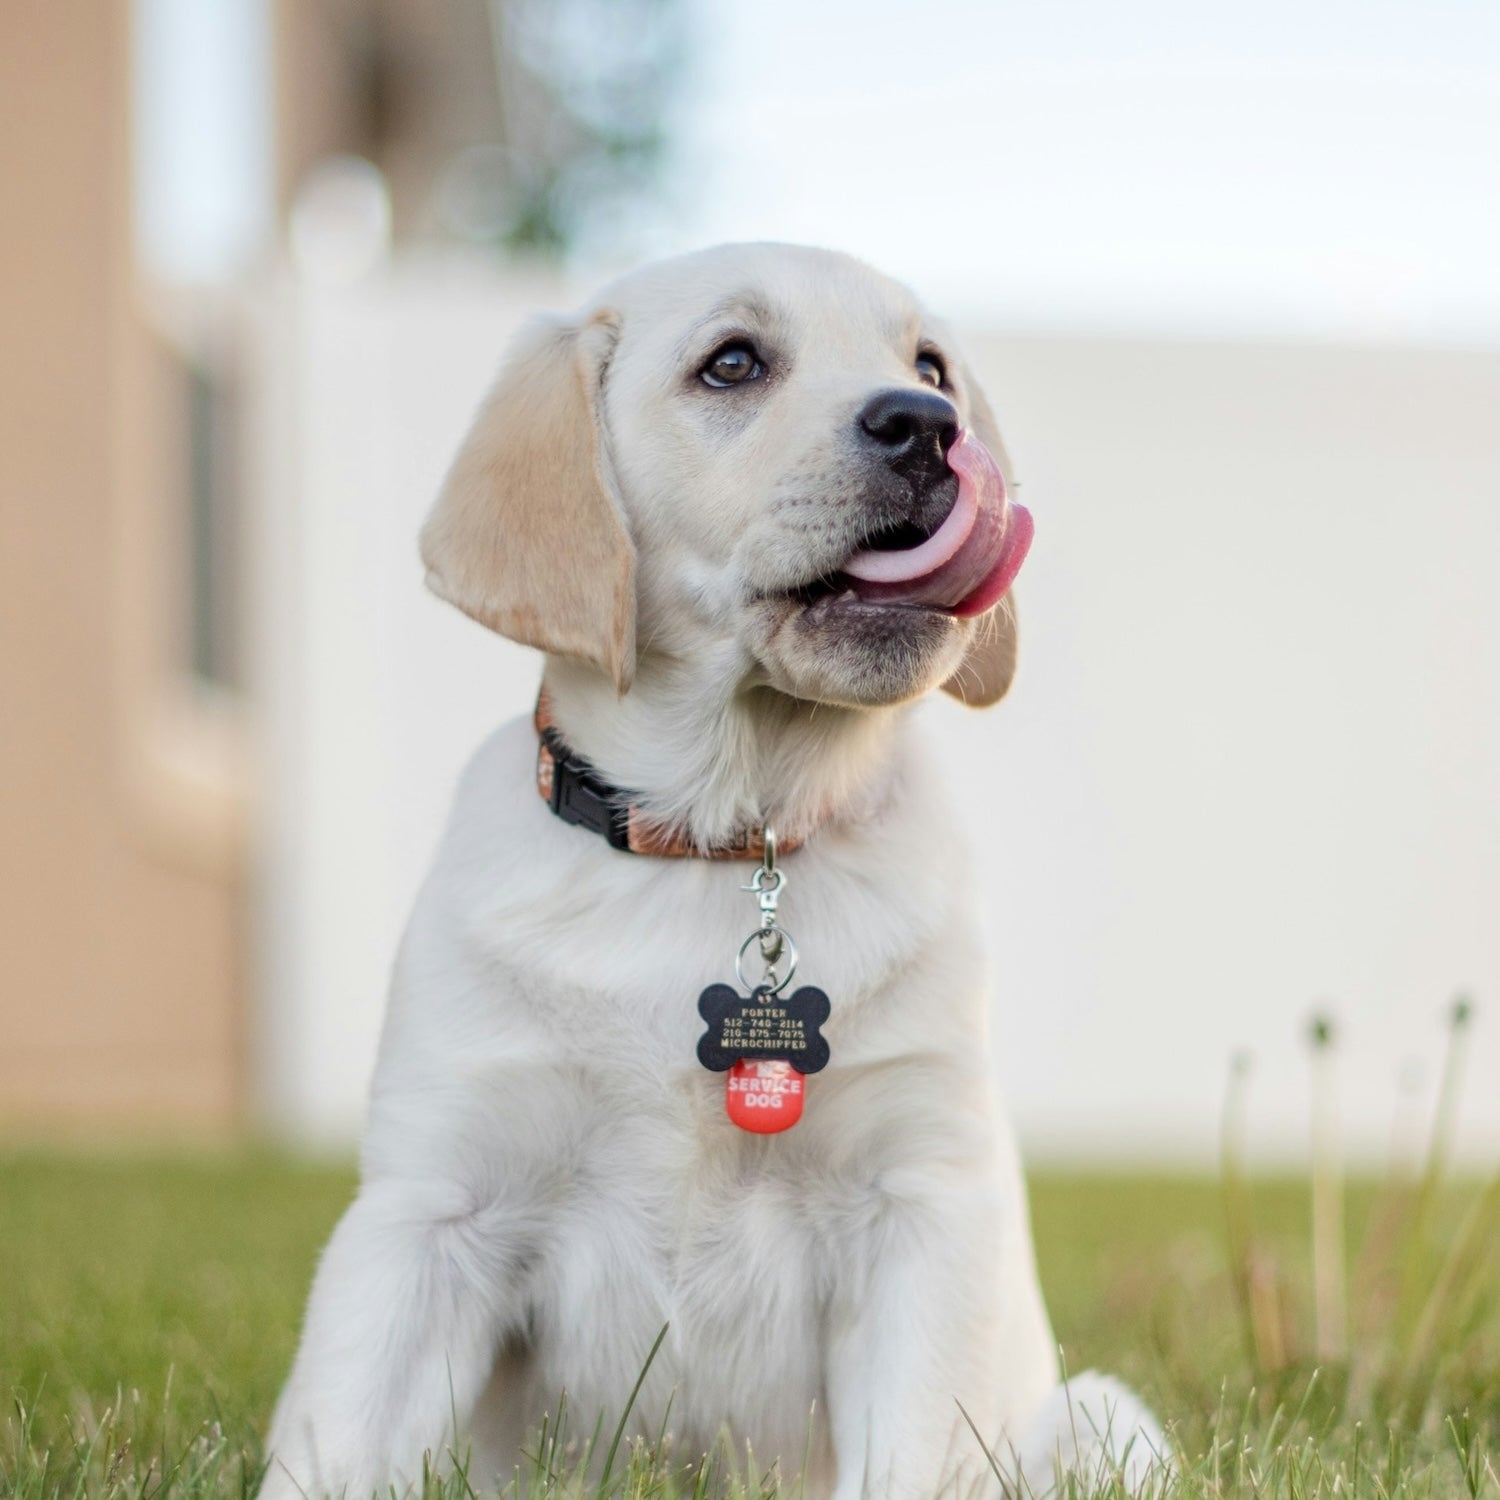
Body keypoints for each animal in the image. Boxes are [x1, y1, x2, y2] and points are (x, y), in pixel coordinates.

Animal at [264, 240, 1164, 1494]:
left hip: (1103, 1419)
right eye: (732, 364)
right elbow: (337, 1441)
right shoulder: (431, 1209)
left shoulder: (921, 1203)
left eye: (930, 364)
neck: (725, 838)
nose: (930, 427)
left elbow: (909, 1454)